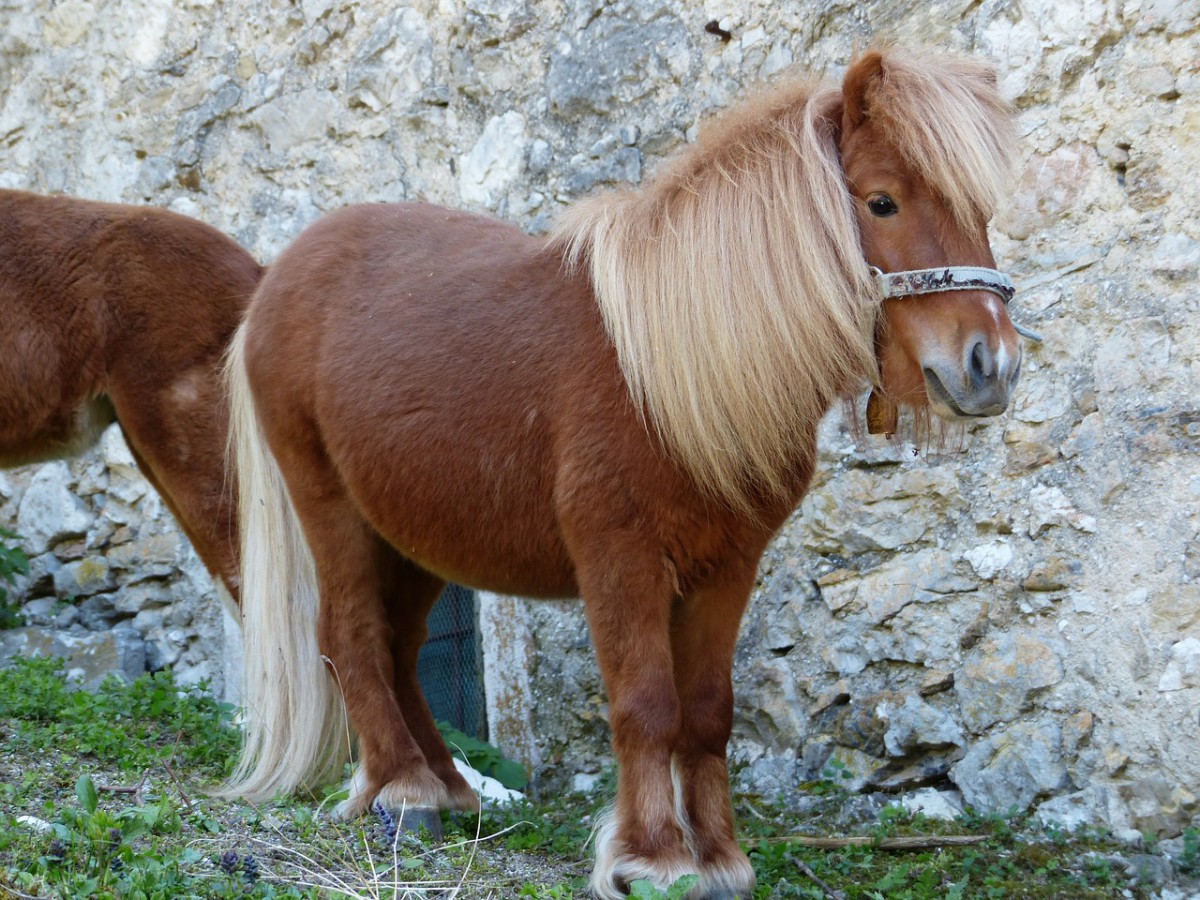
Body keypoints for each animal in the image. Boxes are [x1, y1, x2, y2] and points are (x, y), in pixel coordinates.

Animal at [224, 48, 1022, 898]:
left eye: (980, 208)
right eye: (881, 202)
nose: (992, 366)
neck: (672, 375)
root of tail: (276, 281)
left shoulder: (726, 569)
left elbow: (706, 711)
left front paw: (719, 860)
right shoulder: (621, 561)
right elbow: (646, 705)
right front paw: (652, 857)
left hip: (411, 534)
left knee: (401, 646)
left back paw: (446, 787)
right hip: (331, 506)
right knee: (352, 636)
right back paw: (402, 790)